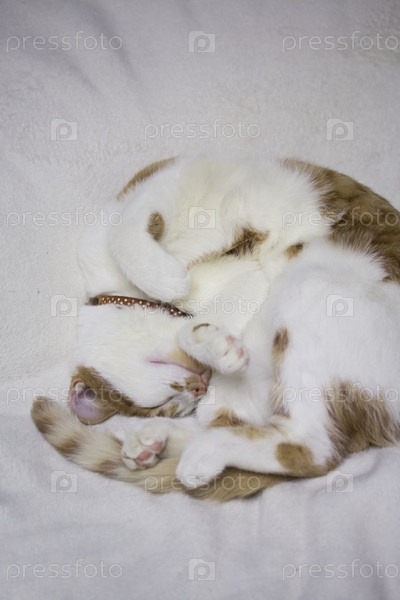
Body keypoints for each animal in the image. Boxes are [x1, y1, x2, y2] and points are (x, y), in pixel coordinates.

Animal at [32, 154, 400, 501]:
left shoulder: (165, 185)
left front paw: (166, 280)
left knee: (311, 447)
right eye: (168, 405)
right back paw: (160, 444)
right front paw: (215, 346)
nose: (195, 388)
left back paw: (195, 450)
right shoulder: (248, 284)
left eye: (160, 369)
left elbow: (123, 233)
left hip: (313, 288)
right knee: (269, 432)